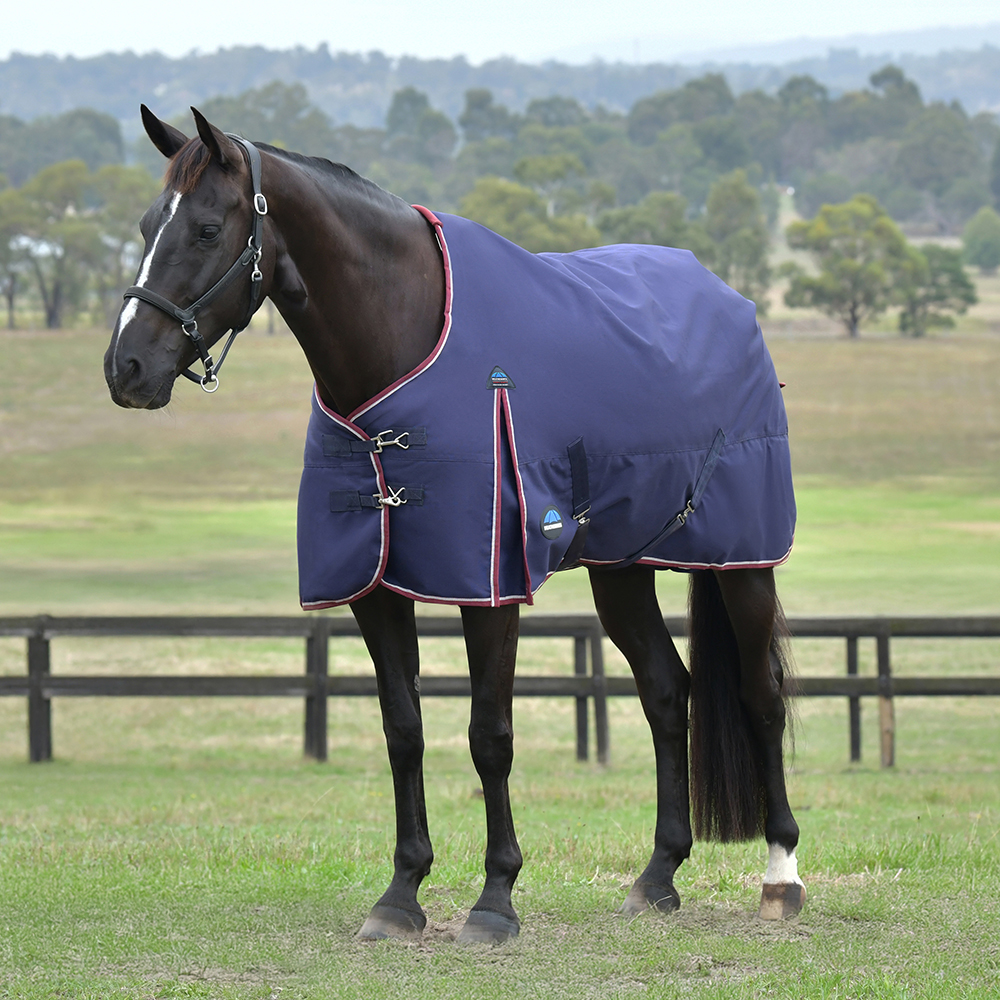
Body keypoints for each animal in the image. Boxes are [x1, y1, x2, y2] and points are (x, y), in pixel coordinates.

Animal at [104, 106, 805, 944]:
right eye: (148, 224)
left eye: (207, 229)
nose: (125, 369)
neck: (401, 349)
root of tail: (728, 302)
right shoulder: (373, 587)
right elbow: (403, 729)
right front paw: (401, 894)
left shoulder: (489, 586)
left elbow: (488, 735)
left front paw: (495, 898)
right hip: (622, 569)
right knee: (668, 693)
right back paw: (657, 876)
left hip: (743, 563)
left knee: (762, 695)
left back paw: (782, 877)